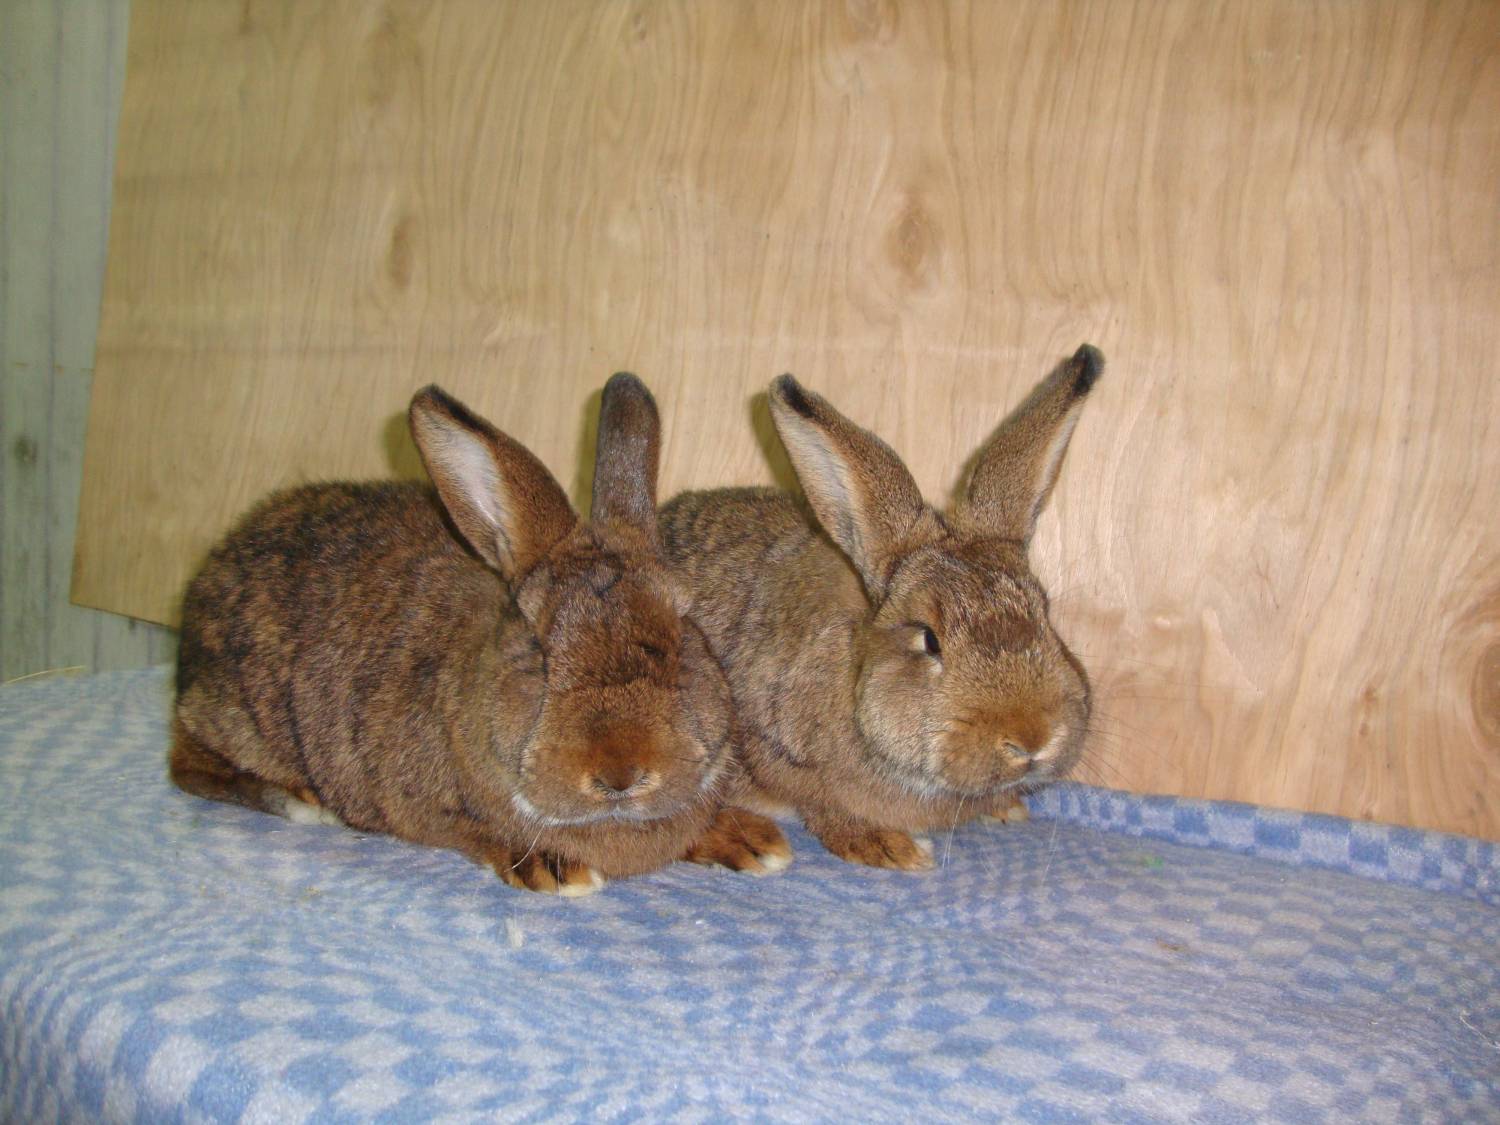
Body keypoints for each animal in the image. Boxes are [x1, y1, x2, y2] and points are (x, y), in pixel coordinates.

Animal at [171, 373, 792, 895]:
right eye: (539, 651)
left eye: (683, 633)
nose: (620, 773)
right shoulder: (417, 803)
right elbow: (474, 832)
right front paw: (553, 867)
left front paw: (752, 841)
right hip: (235, 715)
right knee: (187, 764)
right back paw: (301, 802)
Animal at [660, 347, 1102, 871]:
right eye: (929, 639)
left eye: (1045, 615)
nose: (1032, 737)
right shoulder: (772, 752)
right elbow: (824, 808)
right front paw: (890, 847)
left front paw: (1004, 808)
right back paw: (752, 844)